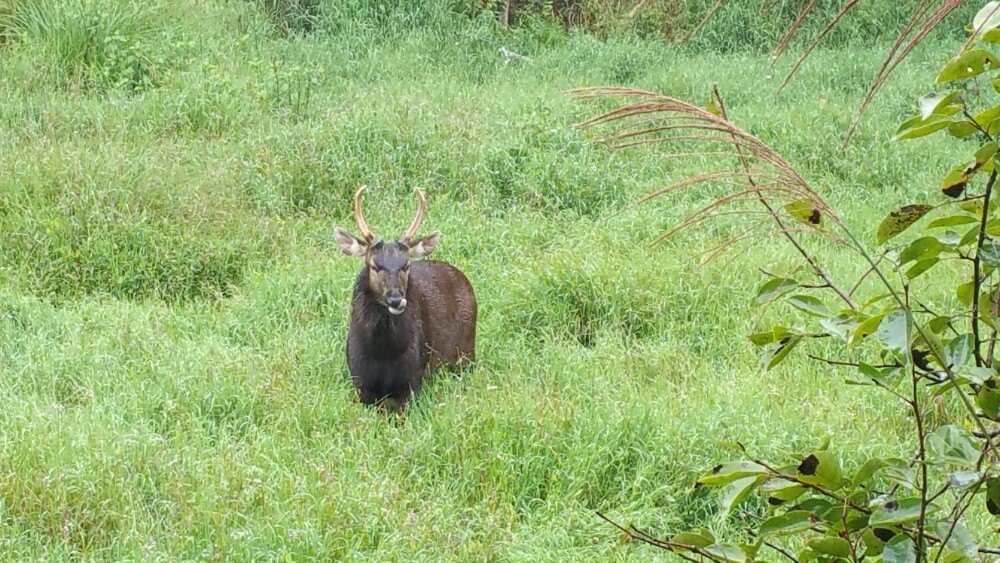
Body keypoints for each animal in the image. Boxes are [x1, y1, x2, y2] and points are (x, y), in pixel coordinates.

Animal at [334, 187, 478, 412]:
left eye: (406, 265)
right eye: (374, 265)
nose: (395, 299)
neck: (382, 353)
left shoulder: (412, 380)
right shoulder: (359, 384)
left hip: (466, 353)